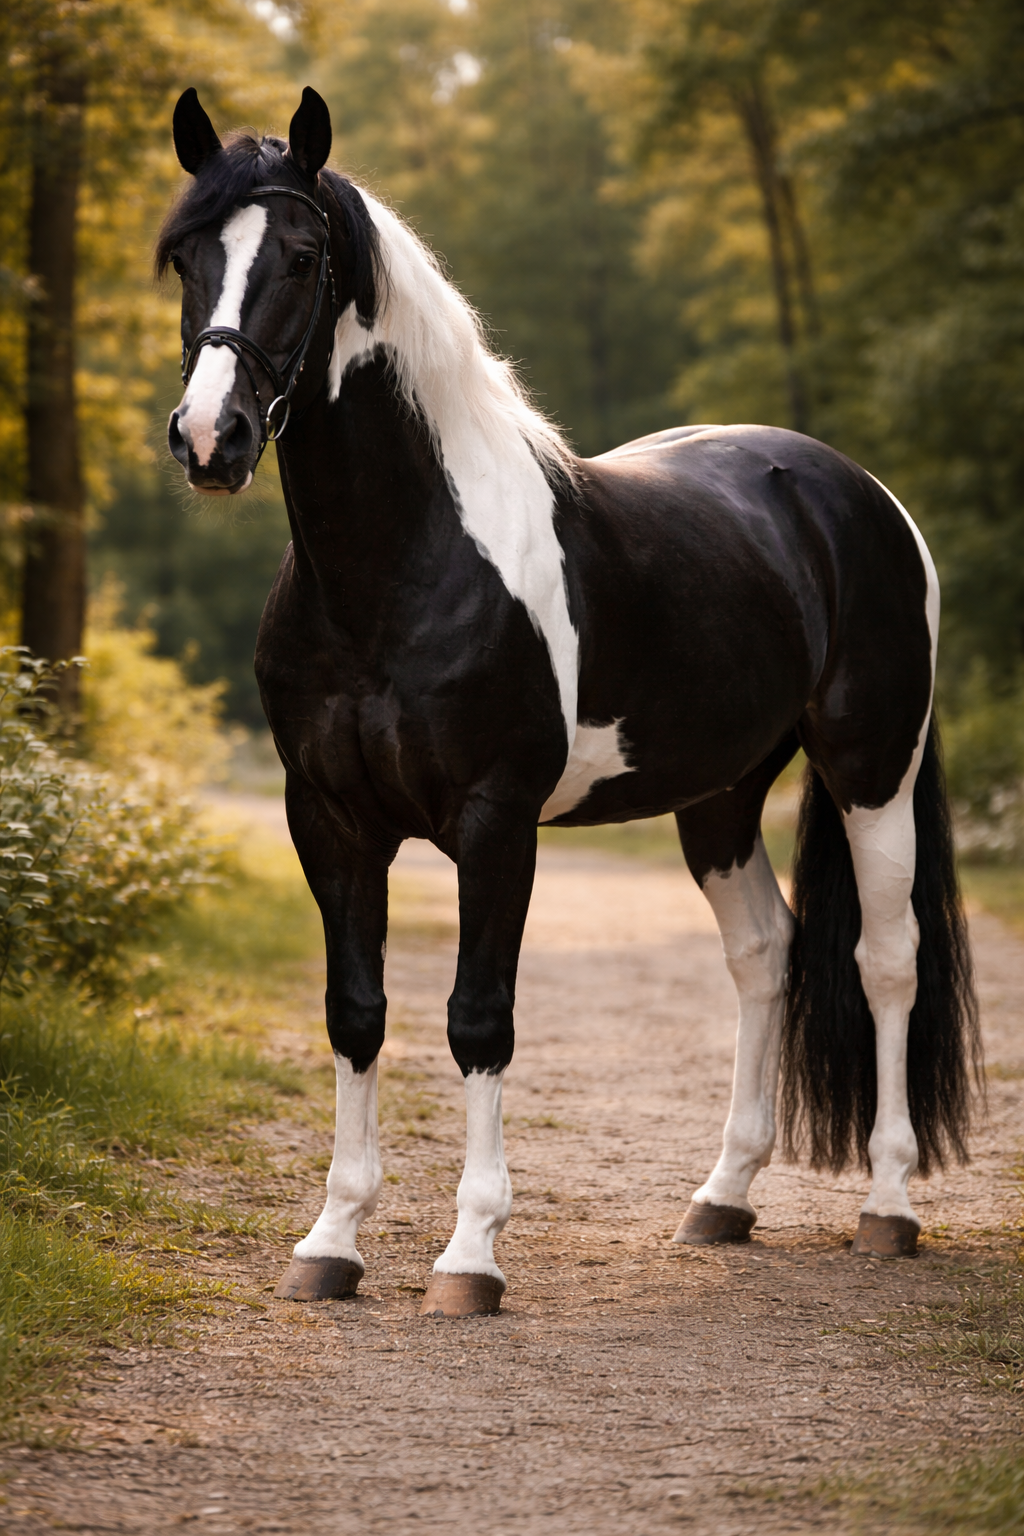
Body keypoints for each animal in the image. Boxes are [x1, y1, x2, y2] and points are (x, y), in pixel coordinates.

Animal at [160, 86, 979, 1318]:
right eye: (186, 257)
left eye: (301, 256)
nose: (212, 439)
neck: (401, 568)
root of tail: (855, 494)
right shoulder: (329, 822)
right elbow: (357, 1013)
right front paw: (332, 1242)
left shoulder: (497, 824)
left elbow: (477, 1018)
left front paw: (470, 1257)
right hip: (720, 795)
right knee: (766, 952)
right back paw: (723, 1198)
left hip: (872, 768)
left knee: (886, 959)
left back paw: (887, 1206)